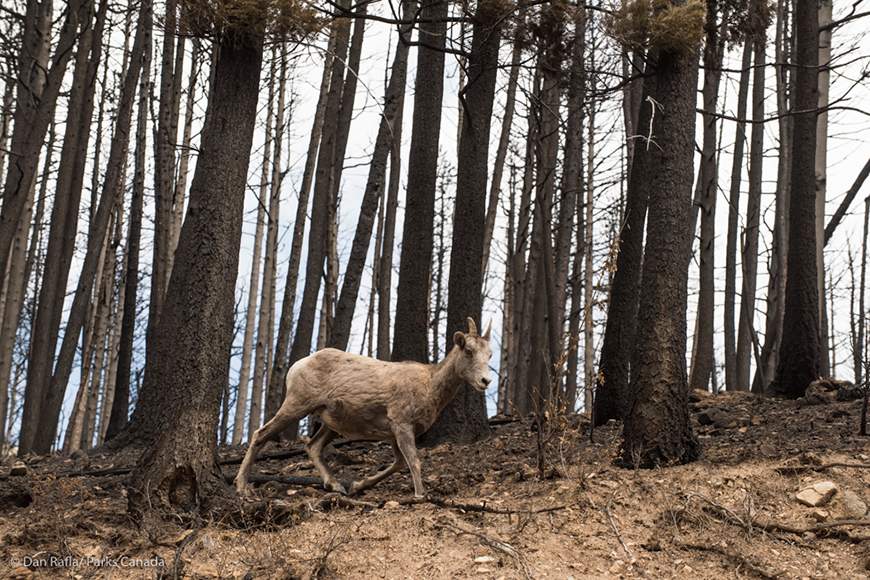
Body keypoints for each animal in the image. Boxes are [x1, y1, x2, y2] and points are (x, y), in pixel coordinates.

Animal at [234, 317, 493, 498]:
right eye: (469, 351)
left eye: (490, 354)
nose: (486, 381)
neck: (430, 388)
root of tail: (295, 368)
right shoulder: (401, 422)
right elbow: (413, 461)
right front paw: (421, 495)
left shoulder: (393, 432)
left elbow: (399, 463)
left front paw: (358, 485)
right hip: (297, 403)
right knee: (261, 433)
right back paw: (242, 487)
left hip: (331, 421)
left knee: (313, 445)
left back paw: (336, 485)